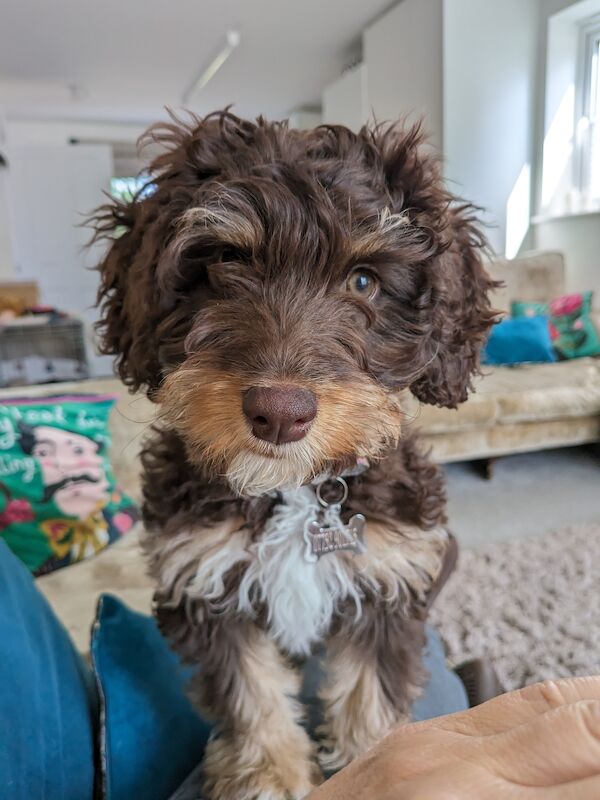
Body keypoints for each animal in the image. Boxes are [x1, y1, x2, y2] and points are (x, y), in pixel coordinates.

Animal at [91, 108, 494, 800]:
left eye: (365, 281)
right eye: (226, 262)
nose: (279, 411)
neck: (294, 486)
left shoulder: (385, 580)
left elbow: (368, 698)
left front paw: (370, 771)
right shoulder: (207, 578)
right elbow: (250, 693)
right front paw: (270, 777)